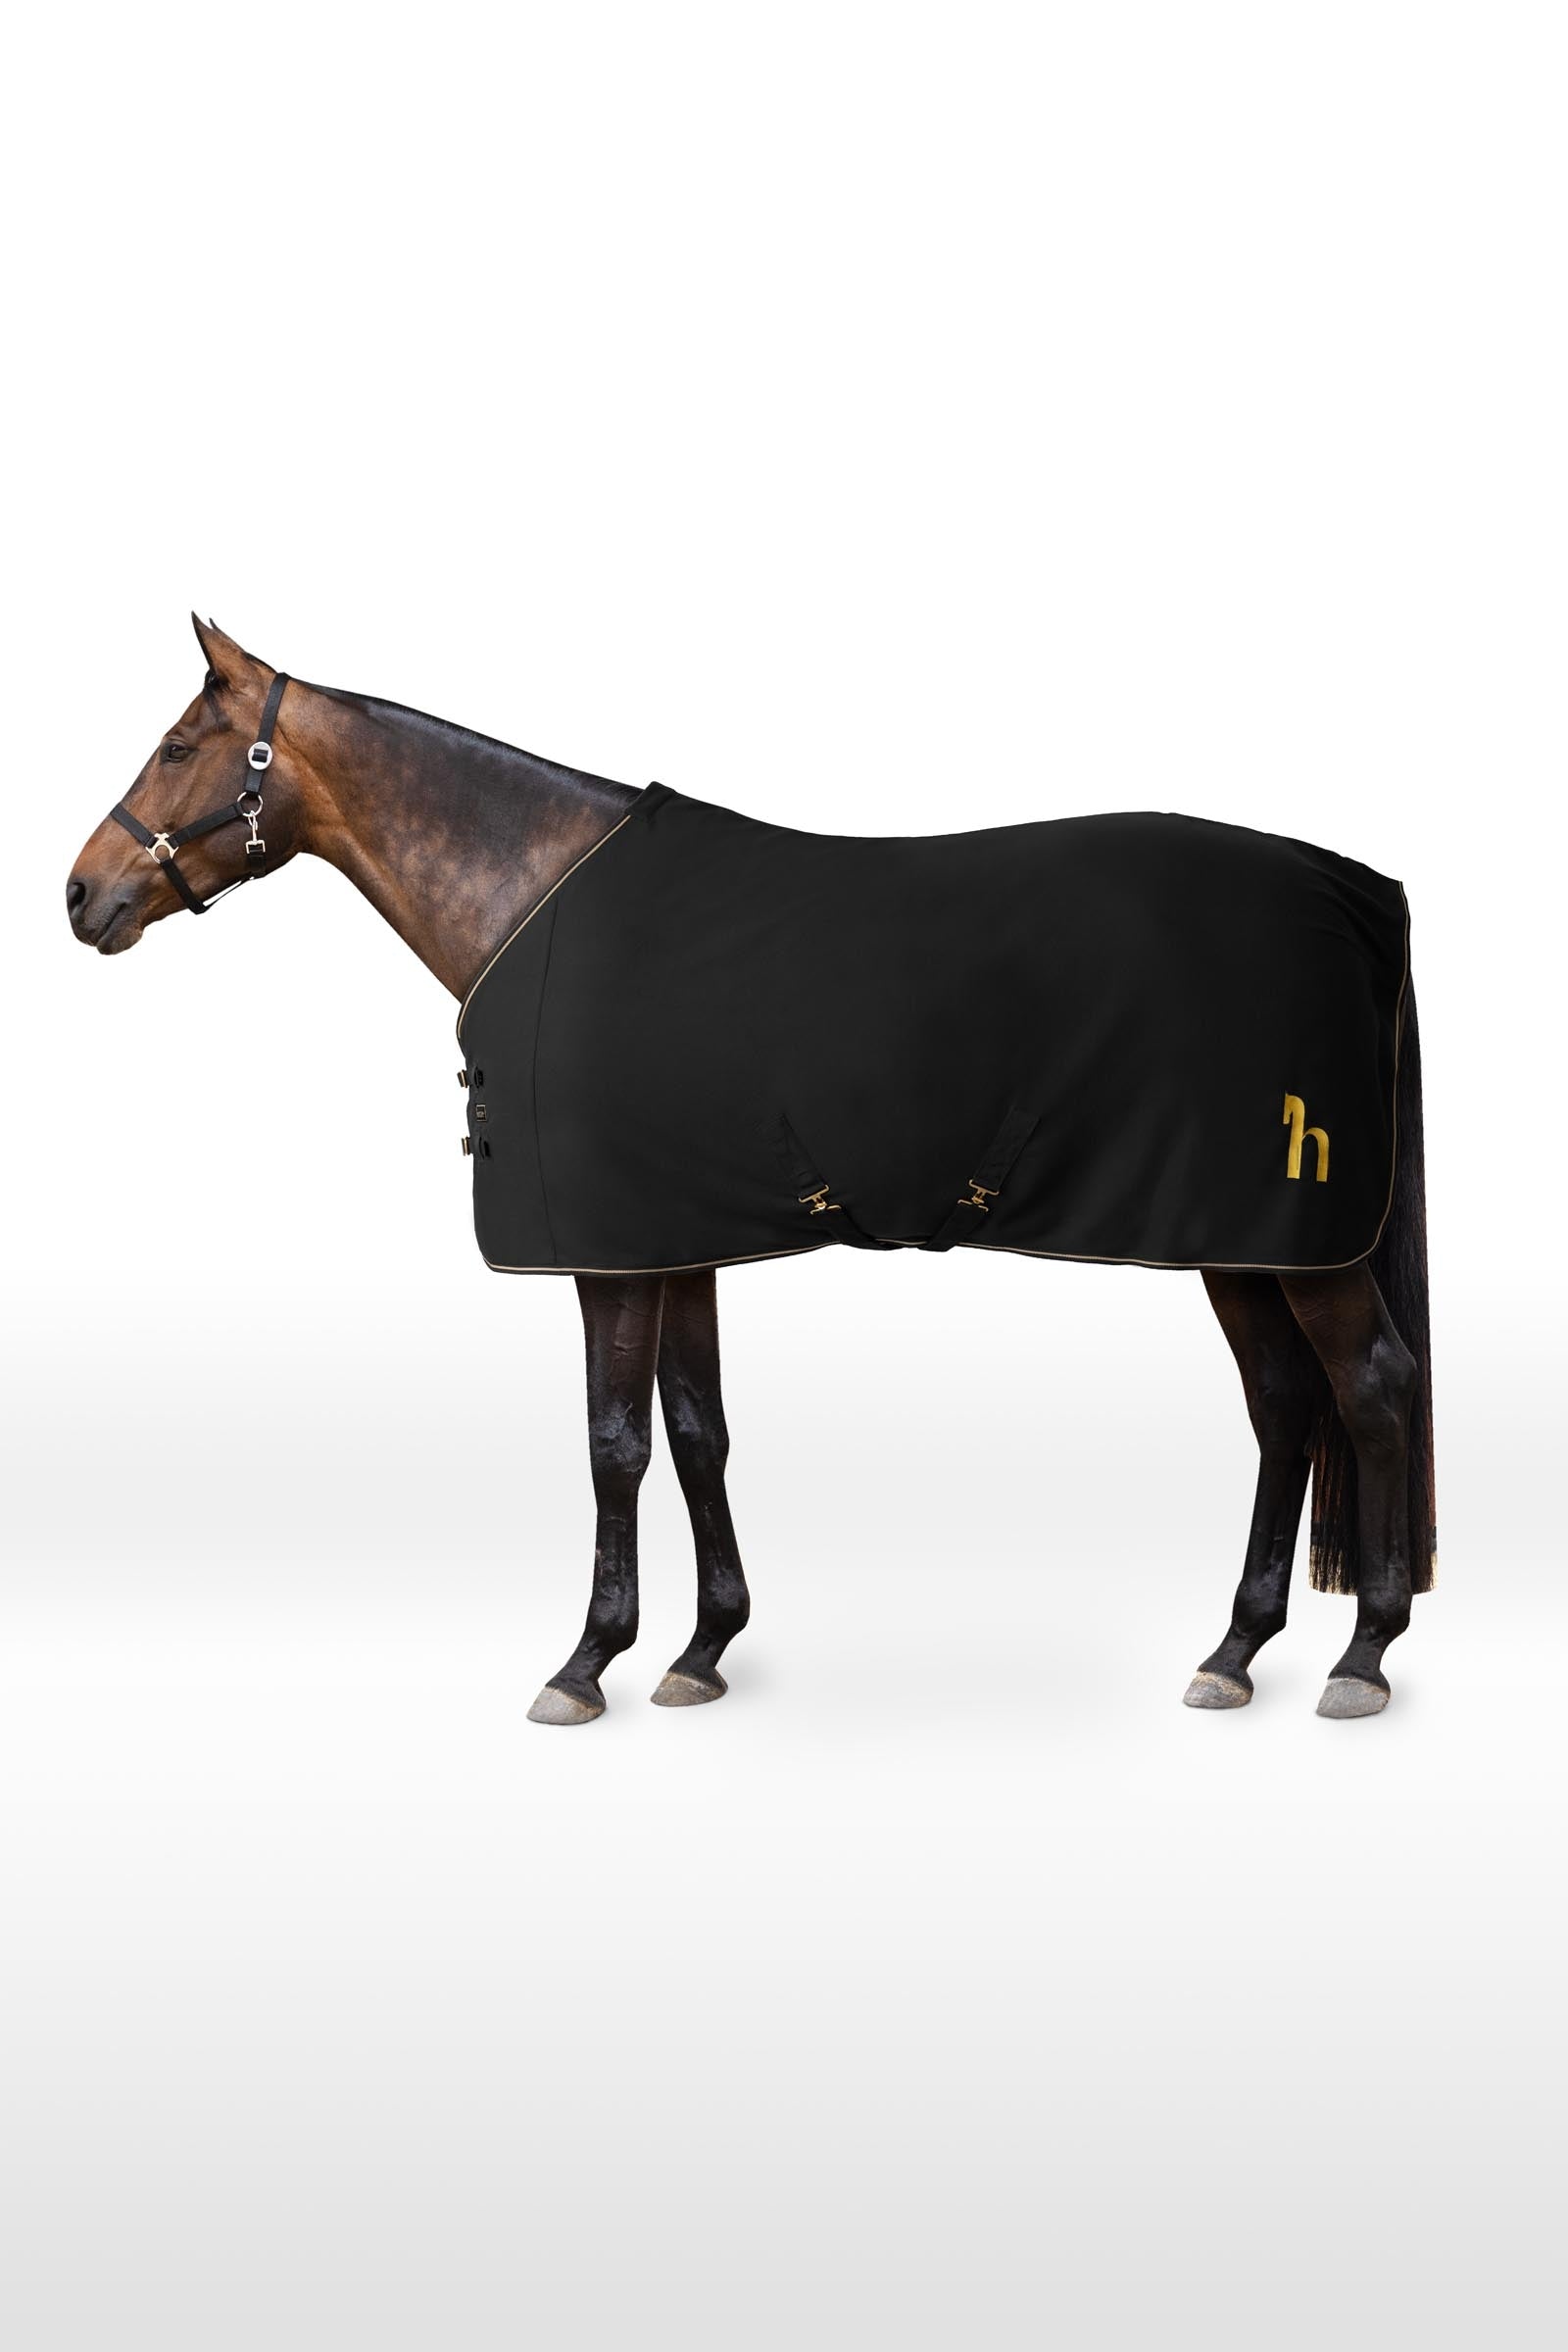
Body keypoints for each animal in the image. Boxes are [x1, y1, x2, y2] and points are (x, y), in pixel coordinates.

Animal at [66, 618, 1436, 1726]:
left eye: (181, 746)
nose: (80, 895)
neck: (539, 896)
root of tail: (1352, 888)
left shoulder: (606, 1254)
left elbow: (614, 1441)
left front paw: (586, 1664)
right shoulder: (677, 1237)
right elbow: (697, 1429)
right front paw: (701, 1650)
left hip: (1293, 1236)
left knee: (1369, 1389)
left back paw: (1362, 1655)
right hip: (1234, 1236)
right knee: (1285, 1405)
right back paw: (1235, 1651)